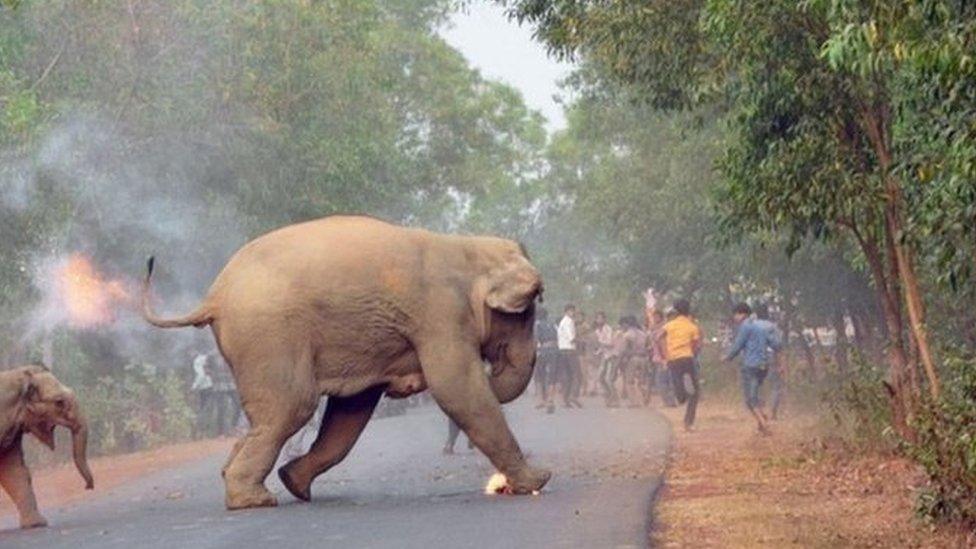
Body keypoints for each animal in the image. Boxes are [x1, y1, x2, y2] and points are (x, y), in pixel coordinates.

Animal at [144, 214, 552, 510]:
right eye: (527, 311)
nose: (494, 369)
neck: (467, 247)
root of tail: (214, 296)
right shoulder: (441, 315)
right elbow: (458, 388)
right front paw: (538, 481)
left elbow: (351, 410)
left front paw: (295, 481)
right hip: (269, 334)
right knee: (293, 407)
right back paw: (253, 501)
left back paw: (254, 483)